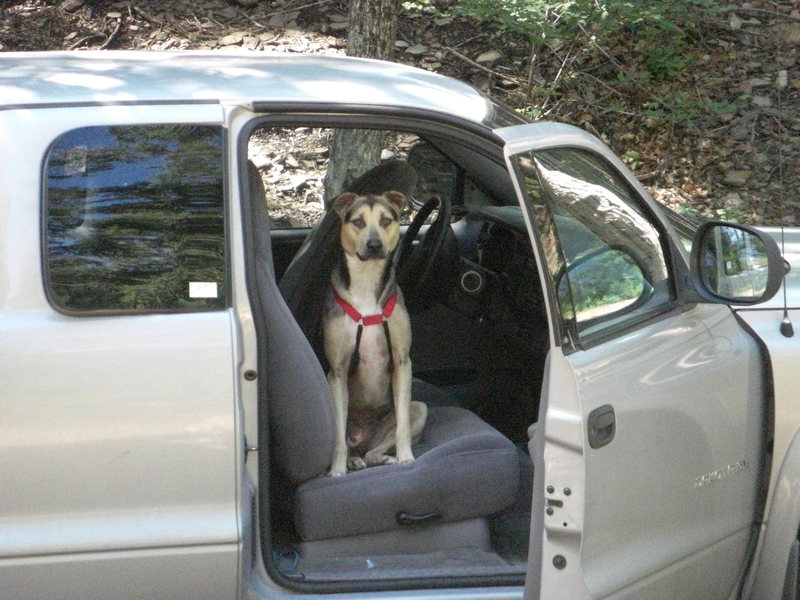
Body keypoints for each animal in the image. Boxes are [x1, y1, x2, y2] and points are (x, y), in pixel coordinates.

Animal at [324, 190, 428, 476]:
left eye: (386, 221)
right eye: (358, 222)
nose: (374, 245)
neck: (366, 281)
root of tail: (362, 438)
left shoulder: (402, 361)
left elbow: (403, 426)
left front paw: (406, 459)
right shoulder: (337, 370)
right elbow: (337, 437)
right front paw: (337, 470)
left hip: (419, 408)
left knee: (373, 451)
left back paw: (380, 458)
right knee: (350, 444)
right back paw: (351, 461)